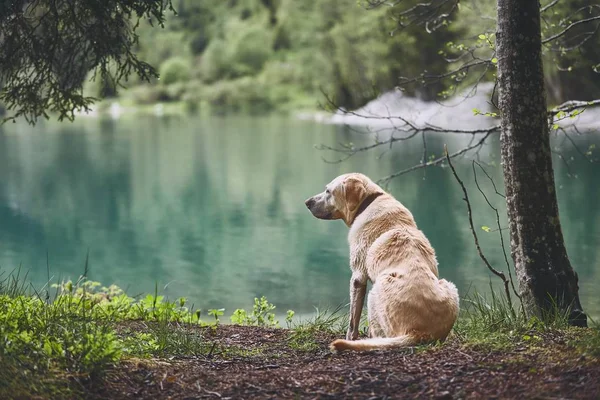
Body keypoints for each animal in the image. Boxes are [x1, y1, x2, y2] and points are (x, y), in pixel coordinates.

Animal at [304, 172, 460, 350]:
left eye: (328, 191)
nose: (307, 202)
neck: (367, 203)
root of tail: (419, 332)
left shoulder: (357, 276)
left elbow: (353, 319)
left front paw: (351, 337)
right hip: (450, 287)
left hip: (375, 291)